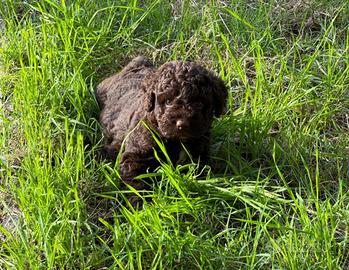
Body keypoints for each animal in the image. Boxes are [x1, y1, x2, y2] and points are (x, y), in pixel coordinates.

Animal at [95, 55, 227, 200]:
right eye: (168, 101)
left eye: (199, 104)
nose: (182, 124)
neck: (176, 141)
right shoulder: (135, 155)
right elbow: (136, 182)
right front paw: (140, 203)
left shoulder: (199, 152)